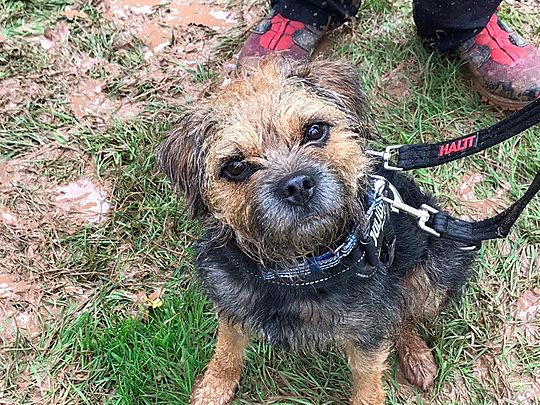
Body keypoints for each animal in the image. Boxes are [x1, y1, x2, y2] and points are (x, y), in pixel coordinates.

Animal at [156, 57, 476, 404]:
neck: (298, 267)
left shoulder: (368, 332)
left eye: (314, 130)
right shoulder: (231, 302)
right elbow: (227, 348)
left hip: (435, 273)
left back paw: (416, 355)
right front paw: (214, 387)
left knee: (403, 313)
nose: (297, 185)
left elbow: (368, 380)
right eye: (236, 167)